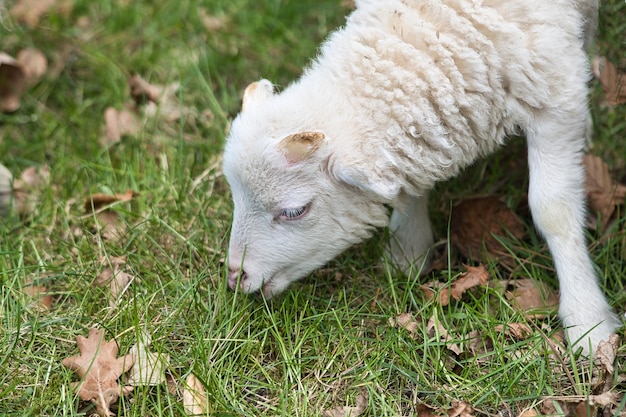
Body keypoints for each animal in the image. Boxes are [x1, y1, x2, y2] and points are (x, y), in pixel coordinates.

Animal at [221, 0, 620, 354]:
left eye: (294, 211)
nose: (236, 277)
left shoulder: (554, 88)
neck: (444, 20)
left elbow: (553, 210)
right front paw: (407, 253)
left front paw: (588, 322)